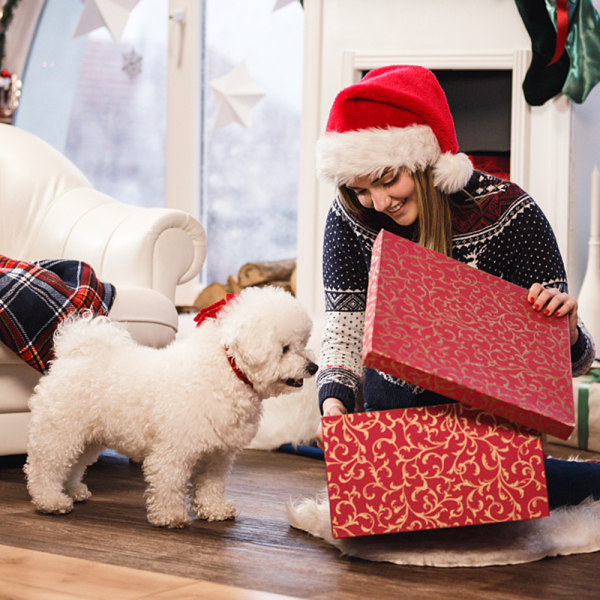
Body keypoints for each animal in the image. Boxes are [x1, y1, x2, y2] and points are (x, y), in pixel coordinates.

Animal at [22, 288, 318, 528]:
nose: (313, 367)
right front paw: (170, 516)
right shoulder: (173, 451)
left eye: (303, 343)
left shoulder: (217, 455)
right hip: (60, 432)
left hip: (87, 437)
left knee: (73, 465)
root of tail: (74, 353)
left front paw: (214, 509)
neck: (227, 371)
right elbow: (169, 483)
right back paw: (51, 501)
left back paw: (72, 491)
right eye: (284, 348)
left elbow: (211, 486)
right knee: (44, 468)